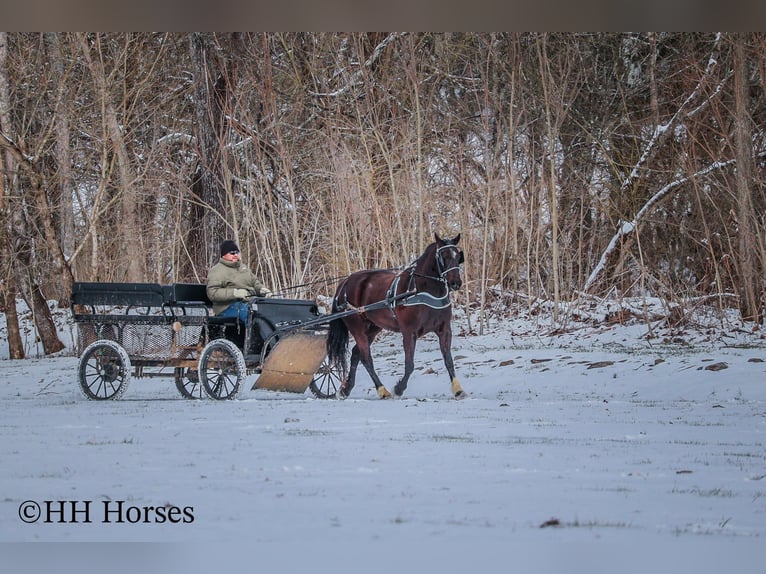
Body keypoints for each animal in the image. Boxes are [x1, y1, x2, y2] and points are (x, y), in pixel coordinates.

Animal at [326, 233, 466, 400]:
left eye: (458, 256)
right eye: (443, 256)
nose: (456, 283)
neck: (423, 291)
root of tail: (345, 282)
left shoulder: (444, 329)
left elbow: (448, 360)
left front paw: (458, 389)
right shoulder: (409, 332)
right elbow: (410, 364)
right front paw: (399, 388)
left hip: (372, 328)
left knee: (355, 354)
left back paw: (346, 389)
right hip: (357, 328)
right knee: (366, 358)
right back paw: (382, 390)